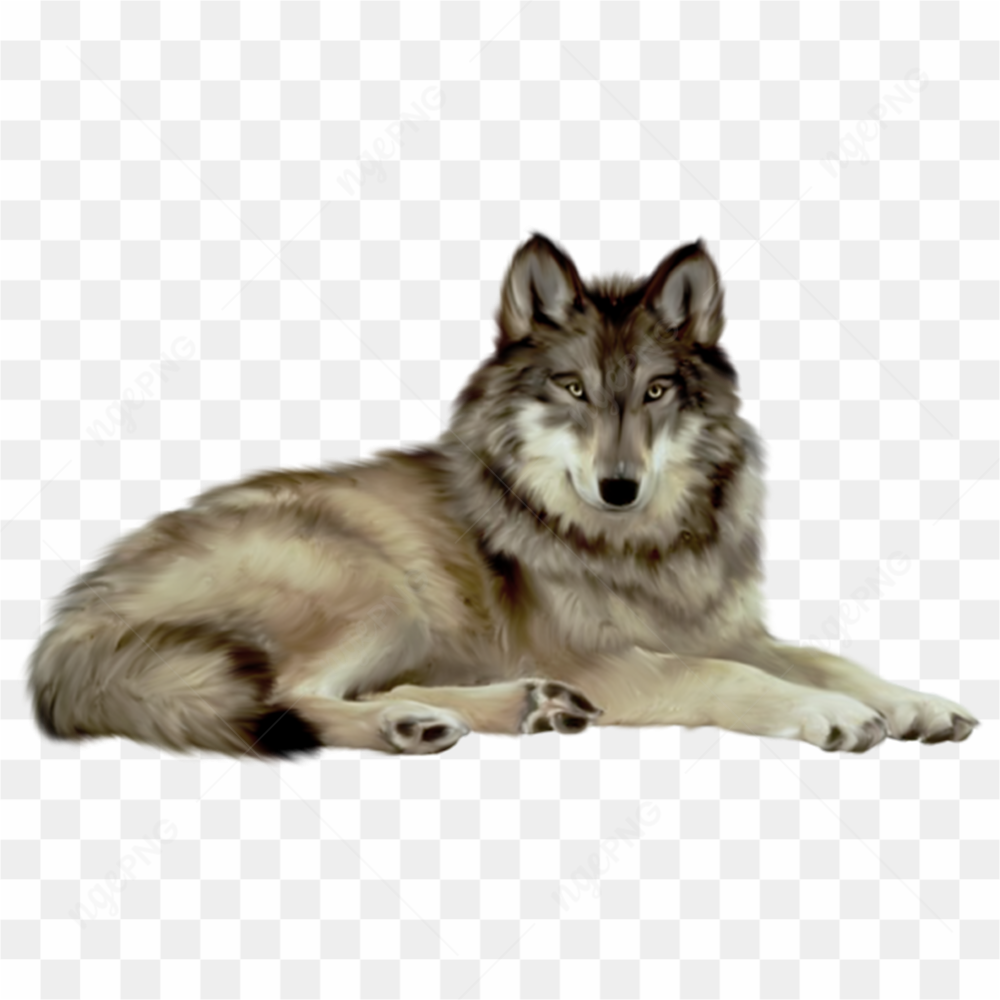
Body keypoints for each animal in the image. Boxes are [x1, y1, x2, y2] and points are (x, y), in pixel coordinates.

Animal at [28, 235, 979, 758]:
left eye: (656, 393)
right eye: (574, 389)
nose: (619, 486)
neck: (643, 546)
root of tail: (71, 622)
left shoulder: (731, 628)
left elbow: (823, 656)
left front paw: (914, 702)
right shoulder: (614, 659)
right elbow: (725, 675)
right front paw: (831, 715)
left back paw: (514, 708)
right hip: (378, 587)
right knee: (294, 697)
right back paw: (429, 722)